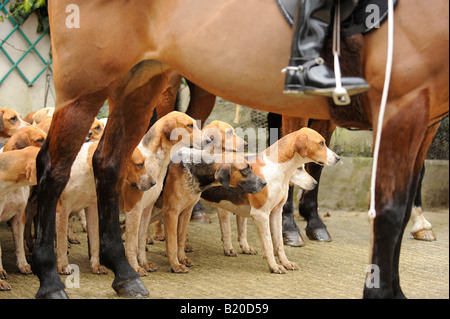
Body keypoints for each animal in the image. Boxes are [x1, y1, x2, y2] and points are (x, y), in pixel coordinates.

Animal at [54, 142, 155, 276]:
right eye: (140, 164)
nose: (154, 183)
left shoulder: (92, 208)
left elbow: (95, 240)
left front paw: (96, 265)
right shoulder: (62, 209)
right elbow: (61, 242)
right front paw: (63, 265)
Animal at [119, 111, 211, 276]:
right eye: (189, 125)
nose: (208, 141)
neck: (152, 159)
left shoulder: (146, 210)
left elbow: (141, 241)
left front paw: (144, 263)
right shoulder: (136, 210)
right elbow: (133, 244)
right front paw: (136, 268)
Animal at [199, 128, 340, 276]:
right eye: (321, 143)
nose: (338, 158)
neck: (277, 168)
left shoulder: (276, 213)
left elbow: (278, 243)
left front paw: (285, 263)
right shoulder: (261, 214)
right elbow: (268, 242)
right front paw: (274, 266)